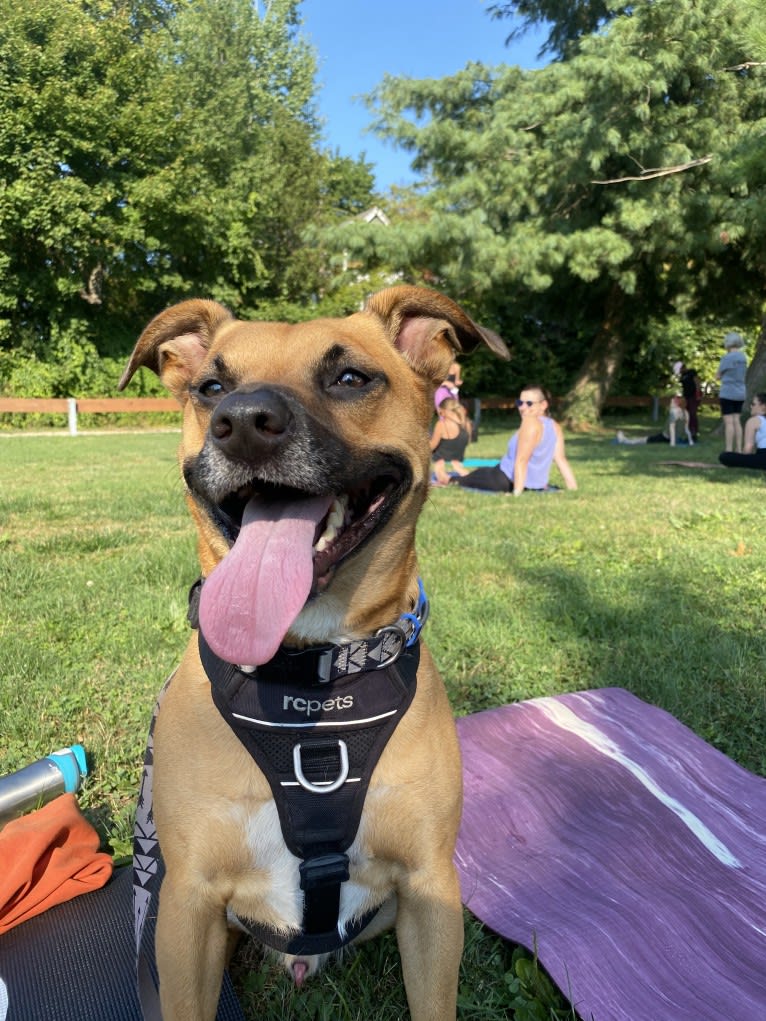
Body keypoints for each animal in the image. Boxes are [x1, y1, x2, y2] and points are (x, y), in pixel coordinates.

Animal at [120, 287, 510, 1021]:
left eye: (350, 377)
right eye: (211, 387)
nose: (243, 423)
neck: (311, 672)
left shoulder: (430, 891)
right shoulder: (185, 908)